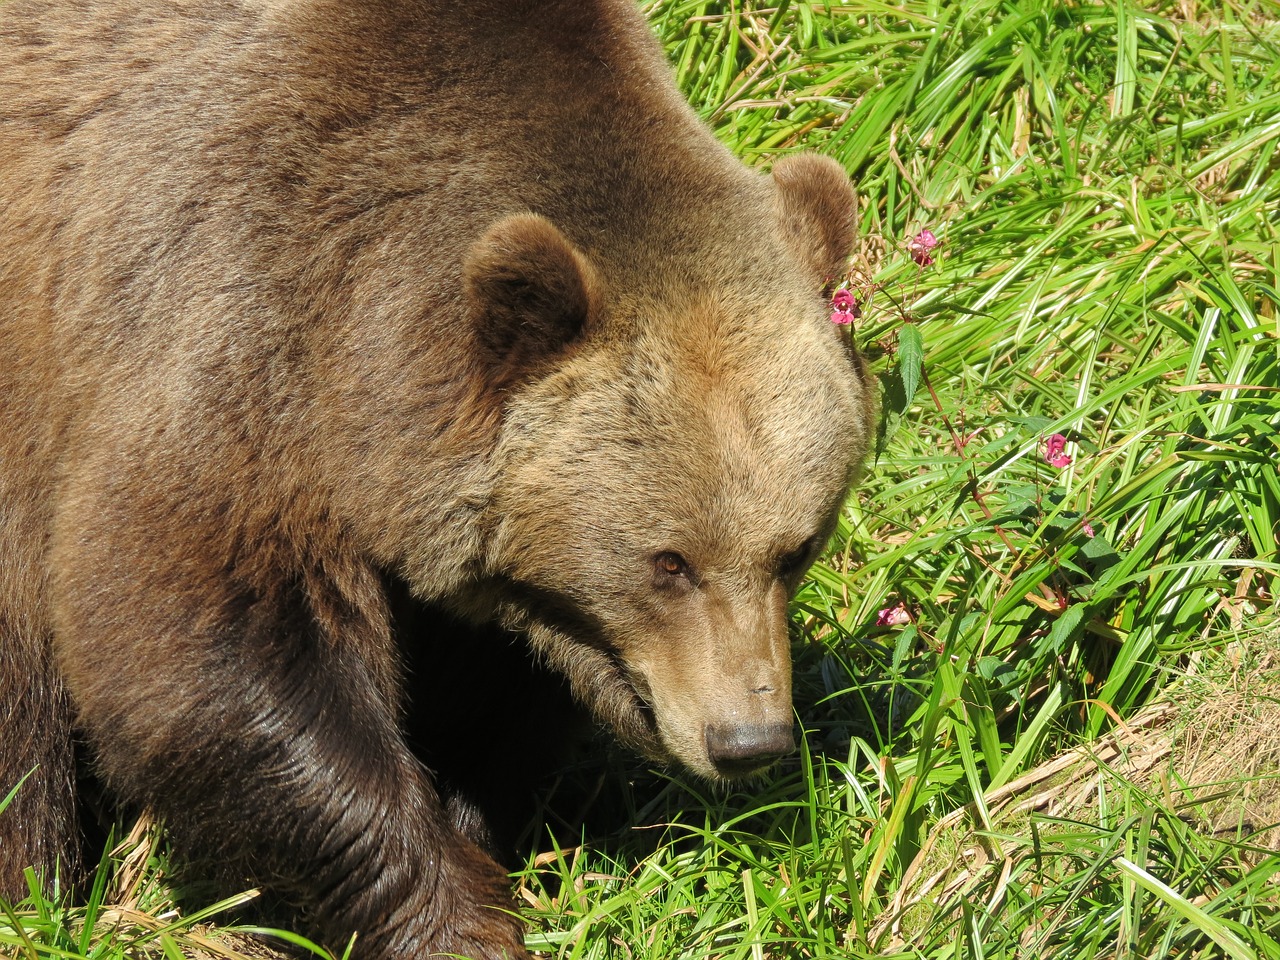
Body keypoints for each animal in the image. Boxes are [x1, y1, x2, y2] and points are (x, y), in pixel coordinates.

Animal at [0, 1, 870, 960]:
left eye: (797, 549)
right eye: (669, 562)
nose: (747, 738)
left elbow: (479, 713)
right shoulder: (229, 339)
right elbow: (201, 651)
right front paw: (456, 921)